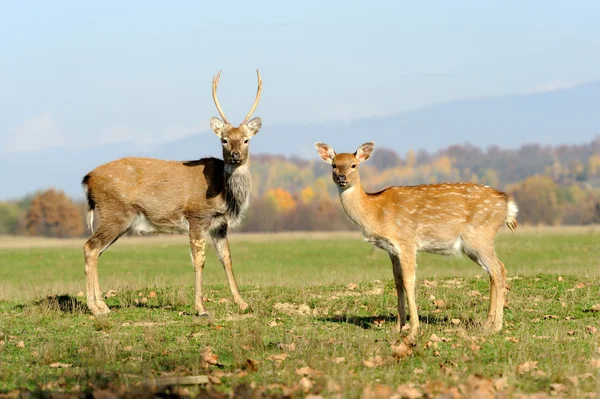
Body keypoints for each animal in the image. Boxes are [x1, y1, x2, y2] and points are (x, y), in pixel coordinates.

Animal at [81, 70, 262, 318]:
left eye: (246, 140)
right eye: (223, 140)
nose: (235, 156)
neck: (225, 194)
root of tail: (87, 179)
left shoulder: (220, 224)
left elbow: (227, 259)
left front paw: (242, 303)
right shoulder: (196, 217)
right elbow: (199, 261)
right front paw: (201, 308)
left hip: (119, 219)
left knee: (97, 250)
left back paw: (102, 305)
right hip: (115, 212)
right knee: (90, 247)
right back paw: (95, 307)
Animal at [316, 142, 516, 342]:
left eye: (353, 165)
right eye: (334, 165)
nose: (342, 178)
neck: (376, 212)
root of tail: (507, 204)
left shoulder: (407, 242)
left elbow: (408, 281)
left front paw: (413, 330)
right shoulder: (391, 249)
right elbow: (397, 281)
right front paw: (398, 327)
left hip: (479, 236)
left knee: (498, 269)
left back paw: (496, 327)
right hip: (476, 243)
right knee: (494, 272)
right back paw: (486, 325)